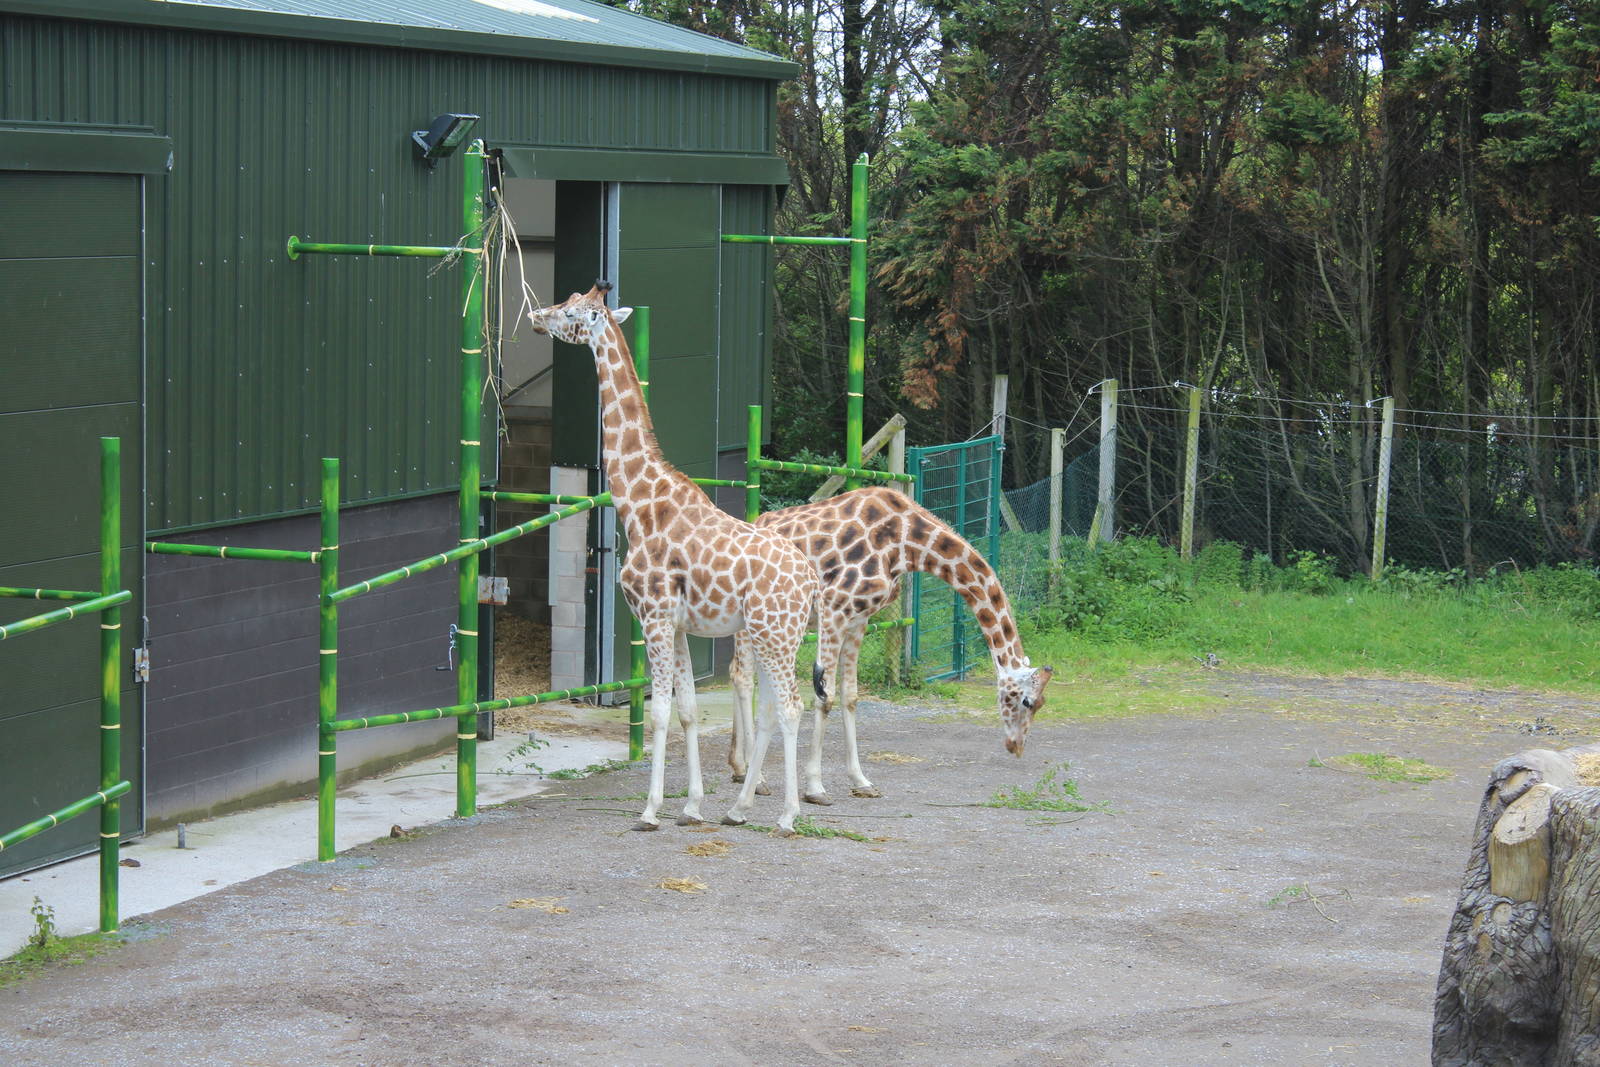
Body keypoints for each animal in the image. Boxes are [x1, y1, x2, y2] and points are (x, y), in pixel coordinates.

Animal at [527, 283, 819, 835]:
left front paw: (650, 810)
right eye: (567, 299)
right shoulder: (680, 624)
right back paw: (738, 807)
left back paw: (787, 815)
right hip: (776, 635)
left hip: (772, 633)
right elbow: (686, 710)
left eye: (575, 312)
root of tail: (811, 579)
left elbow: (658, 711)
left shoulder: (654, 615)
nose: (536, 315)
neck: (639, 504)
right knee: (775, 709)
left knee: (792, 707)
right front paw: (692, 805)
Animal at [729, 486, 1054, 803]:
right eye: (1025, 701)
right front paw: (815, 788)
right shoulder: (834, 608)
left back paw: (739, 768)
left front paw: (861, 781)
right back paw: (757, 780)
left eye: (1041, 705)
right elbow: (825, 696)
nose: (1016, 746)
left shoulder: (858, 618)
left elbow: (850, 696)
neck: (906, 542)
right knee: (743, 677)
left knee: (739, 673)